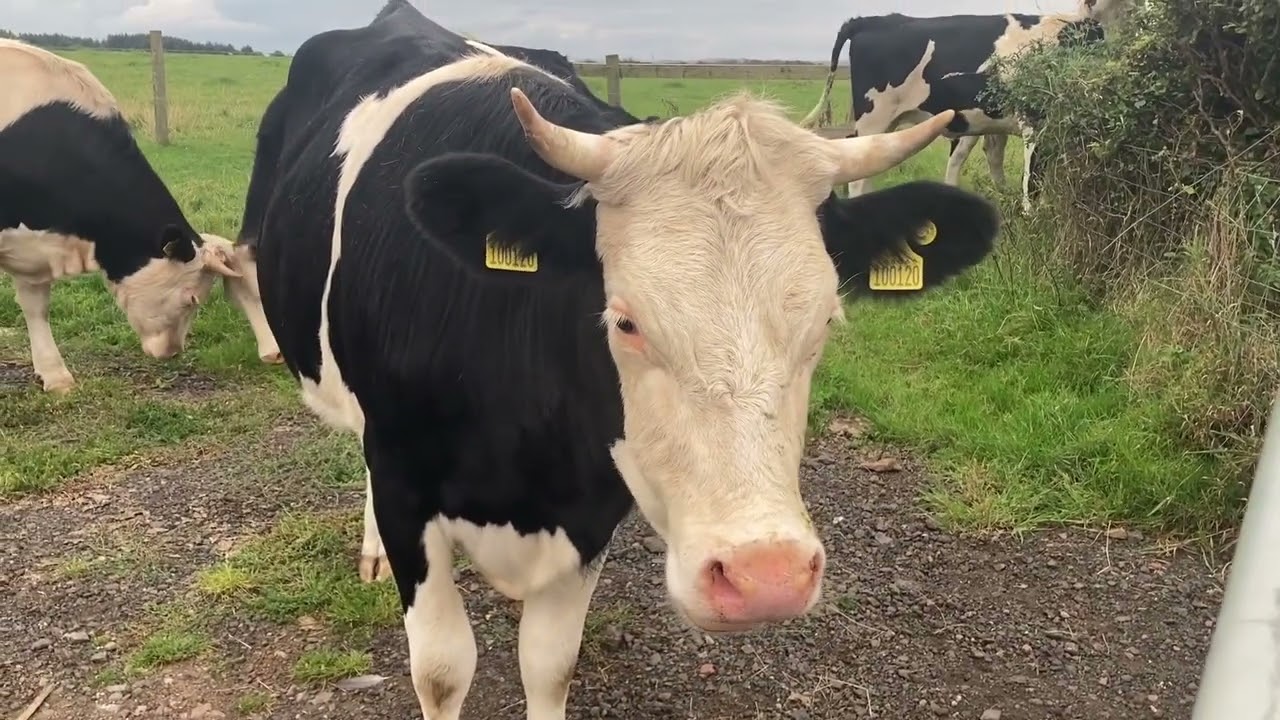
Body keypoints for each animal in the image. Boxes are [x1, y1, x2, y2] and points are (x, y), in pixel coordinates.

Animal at [243, 1, 1001, 716]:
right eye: (626, 321)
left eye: (825, 321)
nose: (765, 577)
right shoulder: (406, 489)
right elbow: (441, 670)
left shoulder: (592, 508)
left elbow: (549, 663)